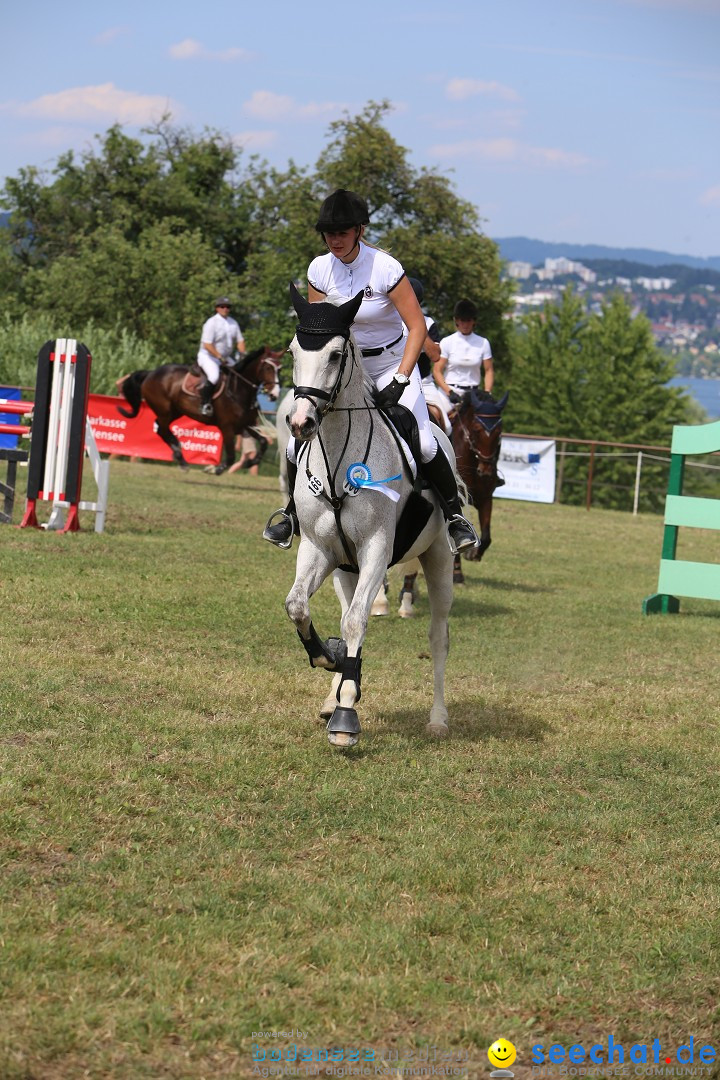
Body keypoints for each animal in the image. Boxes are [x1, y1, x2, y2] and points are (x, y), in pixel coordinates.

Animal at [117, 345, 280, 473]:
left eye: (280, 368)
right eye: (267, 368)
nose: (274, 394)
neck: (239, 390)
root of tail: (150, 373)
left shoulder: (248, 424)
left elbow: (264, 442)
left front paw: (249, 462)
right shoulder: (227, 427)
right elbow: (231, 456)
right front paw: (215, 469)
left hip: (175, 411)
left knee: (160, 429)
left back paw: (180, 457)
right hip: (164, 410)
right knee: (162, 428)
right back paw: (180, 457)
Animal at [280, 282, 455, 747]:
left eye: (336, 354)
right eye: (292, 351)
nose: (300, 422)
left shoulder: (376, 548)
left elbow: (358, 621)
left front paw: (346, 715)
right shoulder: (319, 549)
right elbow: (299, 606)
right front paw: (330, 660)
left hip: (439, 559)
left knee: (438, 636)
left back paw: (438, 718)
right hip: (346, 568)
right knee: (343, 611)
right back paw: (334, 688)